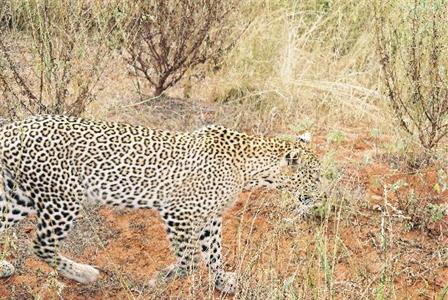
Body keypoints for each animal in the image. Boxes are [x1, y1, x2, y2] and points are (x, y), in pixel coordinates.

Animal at [0, 114, 324, 292]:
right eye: (315, 176)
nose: (321, 195)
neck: (250, 168)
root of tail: (14, 127)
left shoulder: (211, 218)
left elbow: (214, 253)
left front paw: (222, 282)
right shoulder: (178, 213)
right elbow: (190, 260)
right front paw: (162, 278)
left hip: (20, 196)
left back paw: (3, 267)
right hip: (61, 200)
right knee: (41, 245)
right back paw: (84, 273)